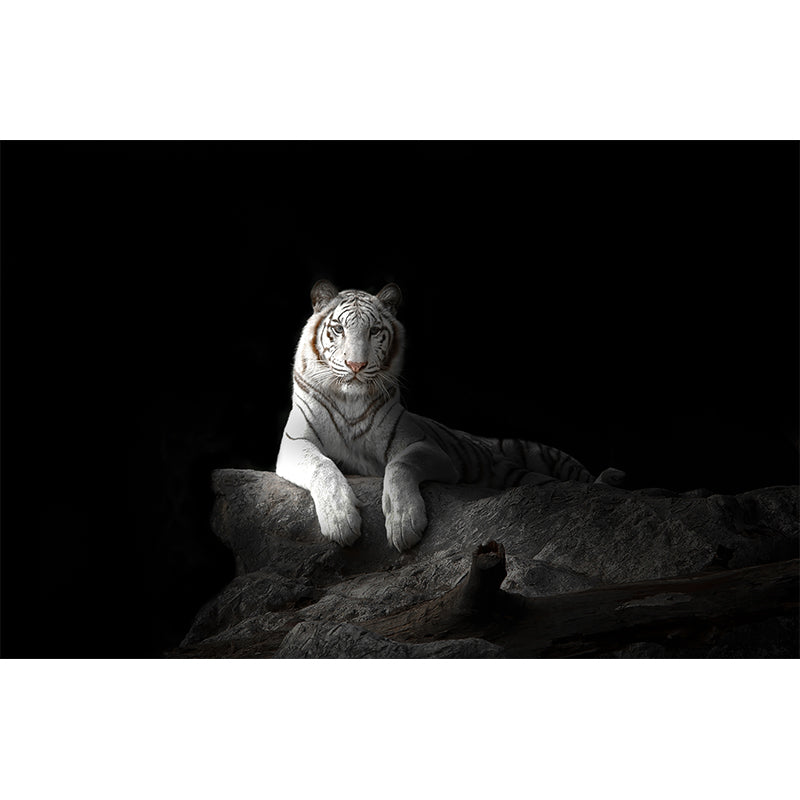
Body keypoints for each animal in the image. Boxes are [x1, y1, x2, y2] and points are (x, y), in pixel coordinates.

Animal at [276, 280, 624, 552]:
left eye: (374, 331)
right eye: (338, 329)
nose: (356, 366)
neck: (349, 399)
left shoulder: (427, 448)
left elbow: (399, 465)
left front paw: (404, 523)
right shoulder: (294, 444)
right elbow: (323, 466)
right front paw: (340, 520)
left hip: (545, 456)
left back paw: (610, 479)